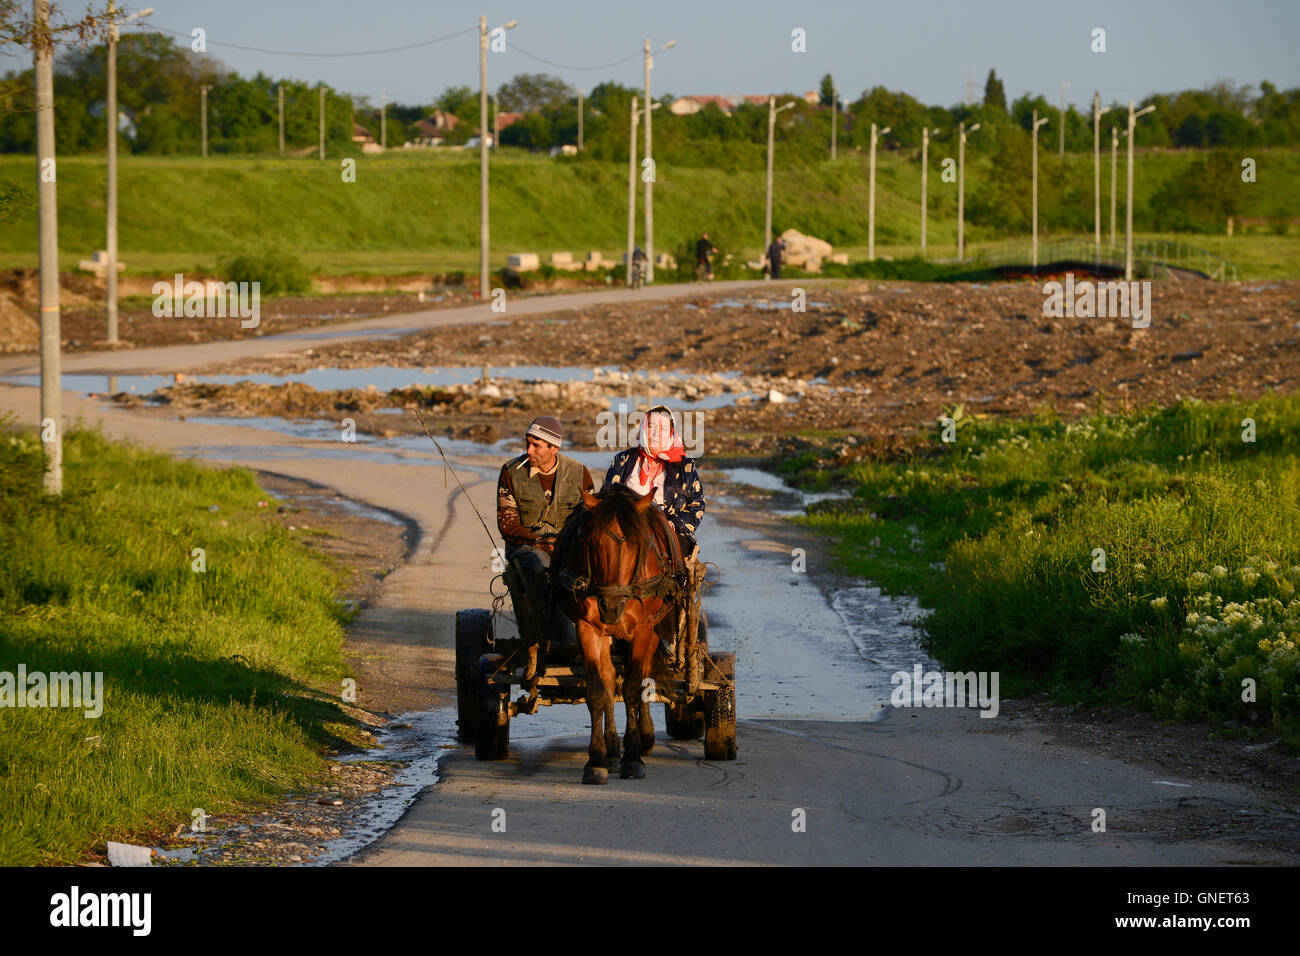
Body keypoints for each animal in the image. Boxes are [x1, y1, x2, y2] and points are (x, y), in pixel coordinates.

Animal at [552, 483, 683, 785]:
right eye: (592, 542)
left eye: (637, 543)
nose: (611, 606)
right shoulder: (587, 628)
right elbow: (599, 690)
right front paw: (597, 760)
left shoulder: (643, 629)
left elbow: (634, 688)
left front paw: (633, 757)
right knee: (611, 678)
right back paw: (613, 751)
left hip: (654, 628)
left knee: (644, 675)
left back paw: (644, 738)